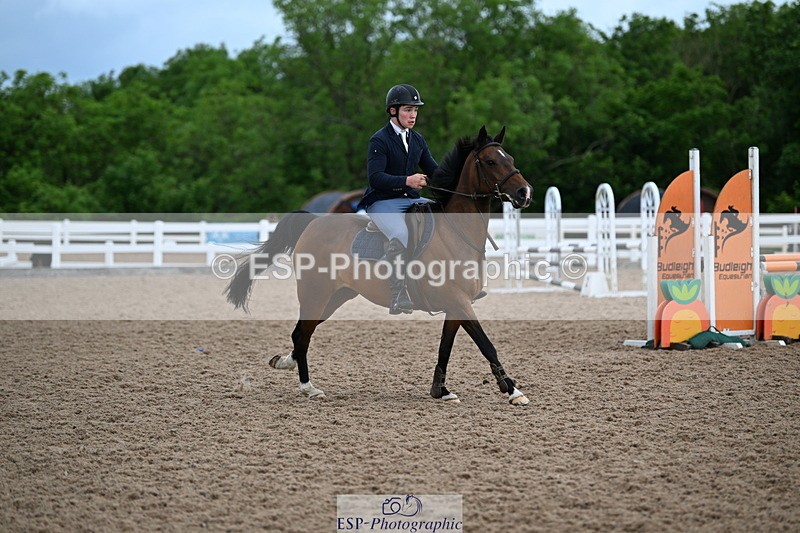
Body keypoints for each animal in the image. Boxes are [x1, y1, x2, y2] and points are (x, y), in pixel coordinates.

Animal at [226, 126, 533, 405]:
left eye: (510, 158)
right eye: (491, 161)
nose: (524, 193)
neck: (454, 233)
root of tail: (313, 222)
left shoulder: (456, 305)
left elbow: (445, 347)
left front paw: (441, 390)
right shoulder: (458, 301)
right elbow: (486, 345)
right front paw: (513, 391)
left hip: (336, 296)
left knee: (302, 333)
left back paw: (285, 363)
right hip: (316, 293)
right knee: (302, 334)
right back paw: (308, 388)